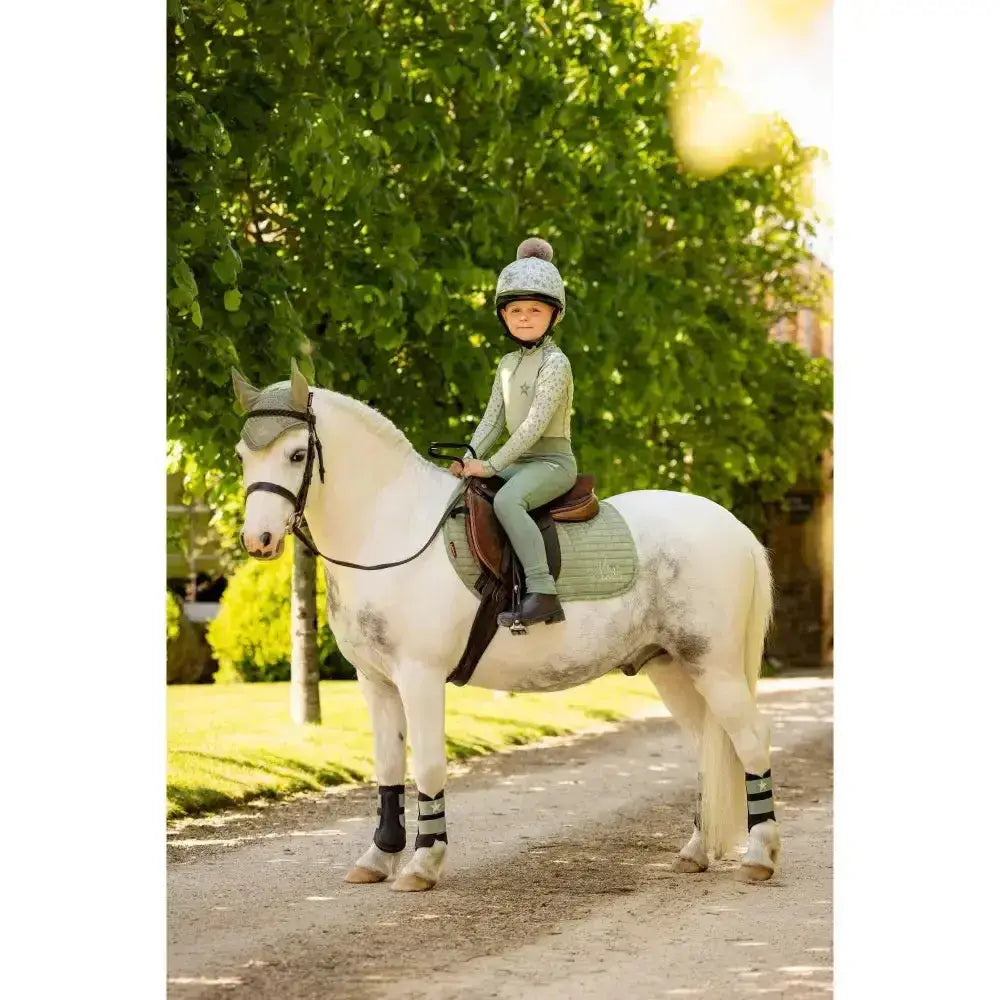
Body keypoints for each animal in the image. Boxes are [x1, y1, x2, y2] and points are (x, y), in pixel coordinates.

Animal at [231, 361, 780, 892]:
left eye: (297, 455)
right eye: (242, 455)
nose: (258, 540)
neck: (394, 529)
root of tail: (734, 528)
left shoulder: (419, 676)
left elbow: (427, 763)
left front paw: (423, 864)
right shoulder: (376, 681)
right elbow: (386, 766)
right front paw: (378, 857)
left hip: (714, 666)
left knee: (751, 740)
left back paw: (760, 857)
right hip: (672, 669)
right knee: (710, 749)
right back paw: (696, 852)